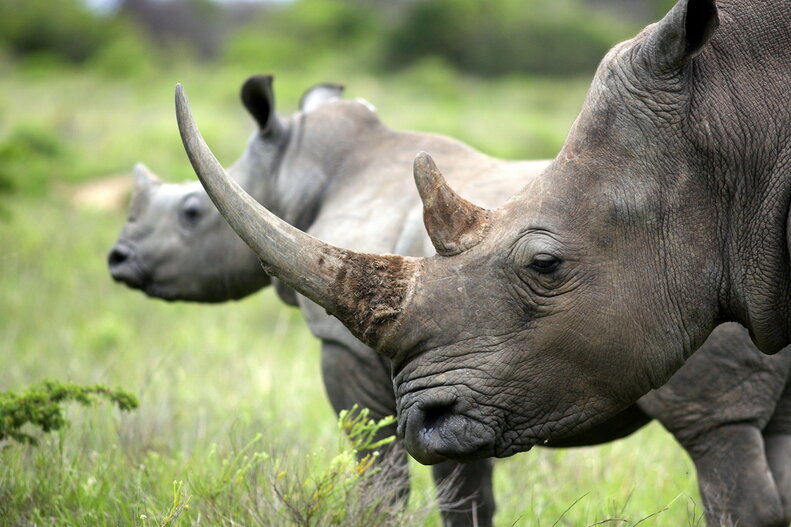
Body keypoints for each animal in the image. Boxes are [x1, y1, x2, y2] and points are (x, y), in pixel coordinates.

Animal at [176, 0, 791, 524]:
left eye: (545, 264)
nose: (424, 419)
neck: (742, 121)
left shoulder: (342, 354)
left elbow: (378, 465)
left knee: (715, 429)